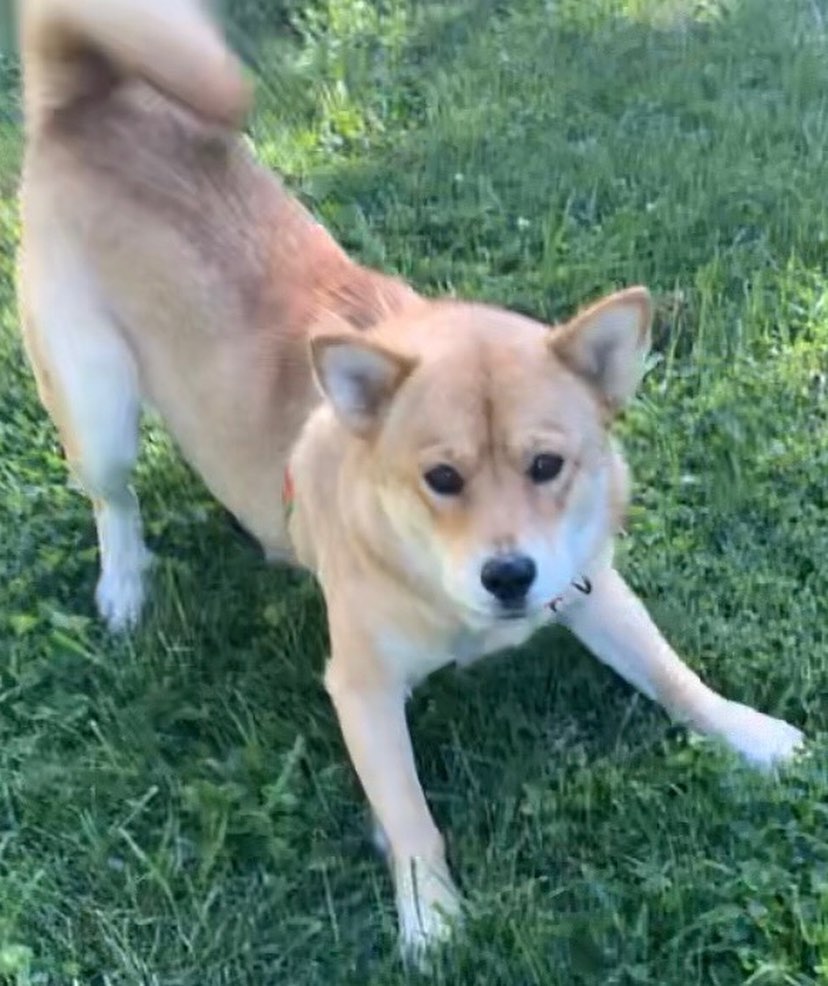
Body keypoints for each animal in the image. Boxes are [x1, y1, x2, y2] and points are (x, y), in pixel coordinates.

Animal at [17, 0, 808, 964]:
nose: (509, 575)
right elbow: (410, 814)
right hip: (97, 408)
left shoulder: (589, 584)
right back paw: (126, 587)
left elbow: (673, 674)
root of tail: (84, 102)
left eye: (547, 465)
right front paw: (431, 918)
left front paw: (751, 735)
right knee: (114, 501)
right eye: (442, 476)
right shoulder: (362, 689)